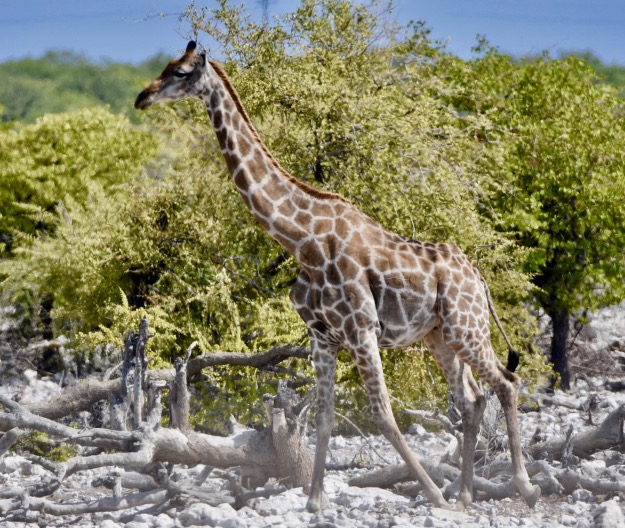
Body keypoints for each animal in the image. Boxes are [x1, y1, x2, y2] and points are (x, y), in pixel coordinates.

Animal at [134, 40, 540, 512]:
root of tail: (478, 276)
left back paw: (520, 487)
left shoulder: (362, 329)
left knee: (508, 383)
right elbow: (324, 419)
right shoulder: (322, 337)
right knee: (473, 400)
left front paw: (433, 495)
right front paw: (315, 501)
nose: (142, 97)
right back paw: (465, 496)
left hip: (467, 326)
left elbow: (383, 415)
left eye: (180, 72)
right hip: (440, 336)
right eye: (165, 66)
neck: (301, 241)